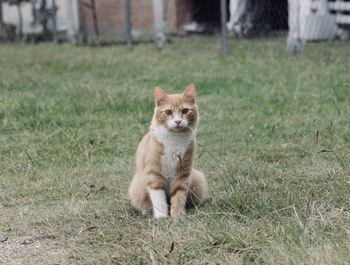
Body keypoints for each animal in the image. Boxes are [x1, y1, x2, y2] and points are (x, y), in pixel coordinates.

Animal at [129, 83, 208, 218]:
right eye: (168, 112)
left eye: (185, 111)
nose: (178, 121)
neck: (175, 139)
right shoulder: (154, 174)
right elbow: (159, 200)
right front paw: (161, 217)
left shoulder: (183, 174)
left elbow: (179, 196)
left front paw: (178, 215)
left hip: (197, 179)